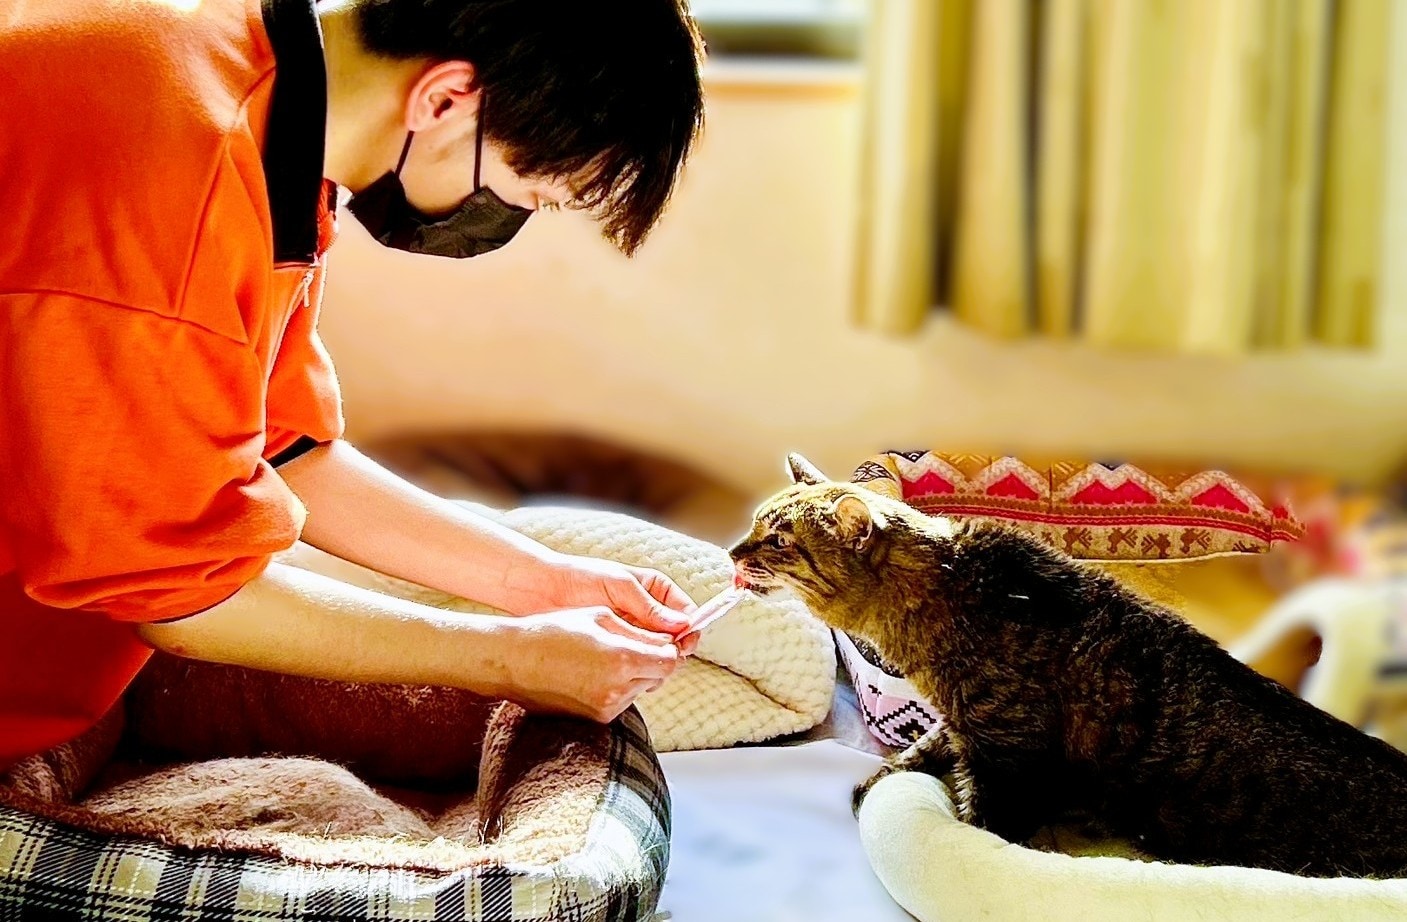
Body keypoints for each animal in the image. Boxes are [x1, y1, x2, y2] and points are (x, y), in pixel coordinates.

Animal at [728, 453, 1407, 878]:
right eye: (756, 522)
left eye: (779, 540)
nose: (734, 550)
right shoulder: (965, 722)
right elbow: (923, 748)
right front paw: (881, 777)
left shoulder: (1005, 751)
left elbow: (982, 826)